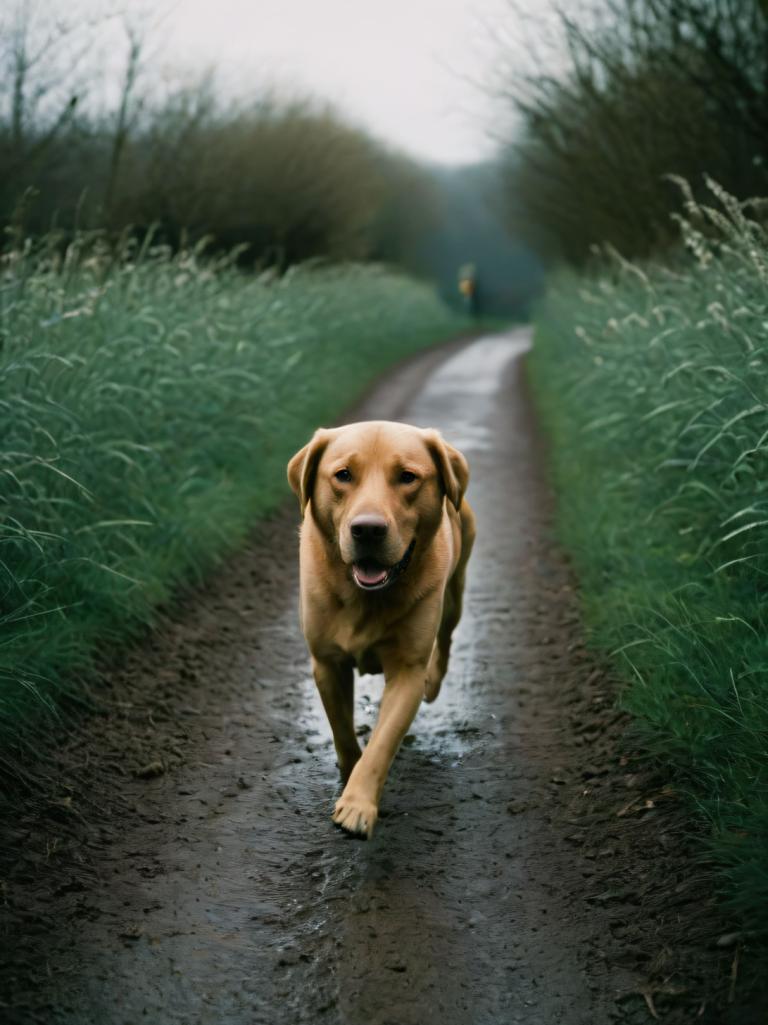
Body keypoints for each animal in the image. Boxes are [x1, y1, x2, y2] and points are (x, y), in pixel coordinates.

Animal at [287, 420, 473, 836]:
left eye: (407, 477)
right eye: (343, 475)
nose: (368, 530)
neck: (366, 598)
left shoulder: (406, 672)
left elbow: (383, 743)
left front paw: (358, 805)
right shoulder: (327, 663)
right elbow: (341, 728)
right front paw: (348, 771)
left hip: (455, 591)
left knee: (447, 636)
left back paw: (435, 679)